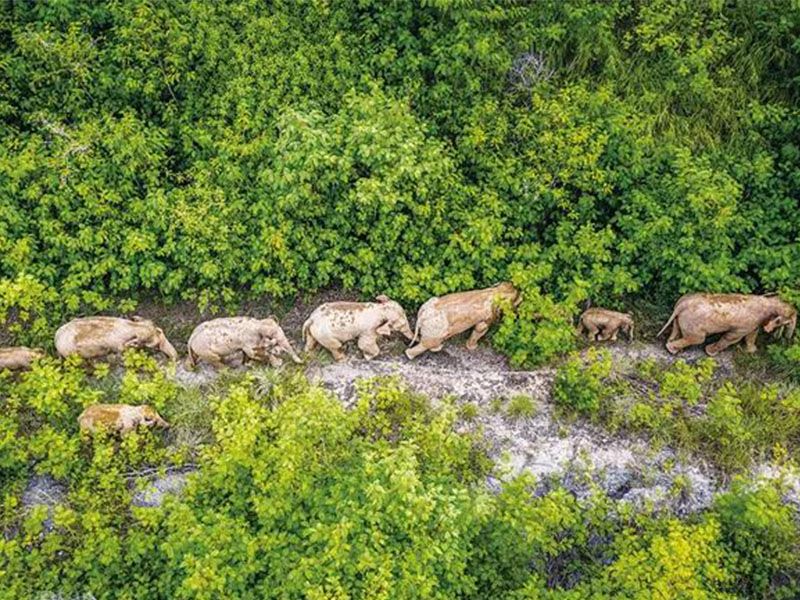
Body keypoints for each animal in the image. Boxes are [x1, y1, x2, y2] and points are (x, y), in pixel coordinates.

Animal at [660, 292, 796, 354]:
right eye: (787, 323)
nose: (788, 339)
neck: (768, 302)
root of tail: (681, 304)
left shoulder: (754, 323)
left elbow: (752, 334)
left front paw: (752, 351)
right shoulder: (745, 324)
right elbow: (733, 337)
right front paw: (710, 352)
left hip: (681, 319)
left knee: (676, 329)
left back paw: (673, 346)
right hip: (693, 324)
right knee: (698, 339)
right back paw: (672, 350)